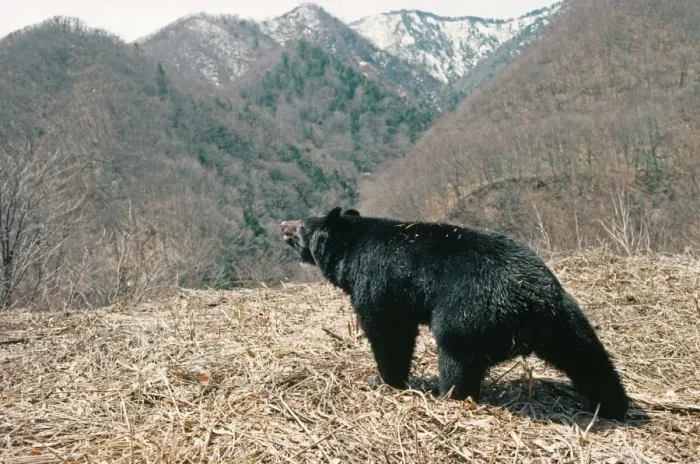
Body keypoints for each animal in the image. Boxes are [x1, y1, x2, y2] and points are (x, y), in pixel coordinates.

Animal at [280, 206, 629, 420]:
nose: (283, 224)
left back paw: (445, 395)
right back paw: (614, 406)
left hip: (468, 316)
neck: (350, 249)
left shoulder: (377, 282)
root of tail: (535, 301)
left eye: (302, 225)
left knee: (457, 359)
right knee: (588, 358)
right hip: (566, 321)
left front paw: (381, 380)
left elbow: (388, 331)